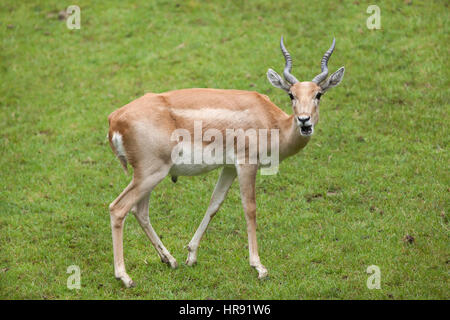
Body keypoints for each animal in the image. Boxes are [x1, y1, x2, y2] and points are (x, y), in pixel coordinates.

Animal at [108, 36, 344, 286]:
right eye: (291, 94)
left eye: (318, 94)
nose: (304, 120)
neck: (272, 122)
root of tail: (115, 119)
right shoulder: (246, 163)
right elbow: (250, 208)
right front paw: (259, 266)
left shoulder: (229, 167)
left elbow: (214, 203)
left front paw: (191, 255)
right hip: (150, 173)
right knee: (118, 208)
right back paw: (124, 276)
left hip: (149, 176)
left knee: (140, 211)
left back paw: (169, 260)